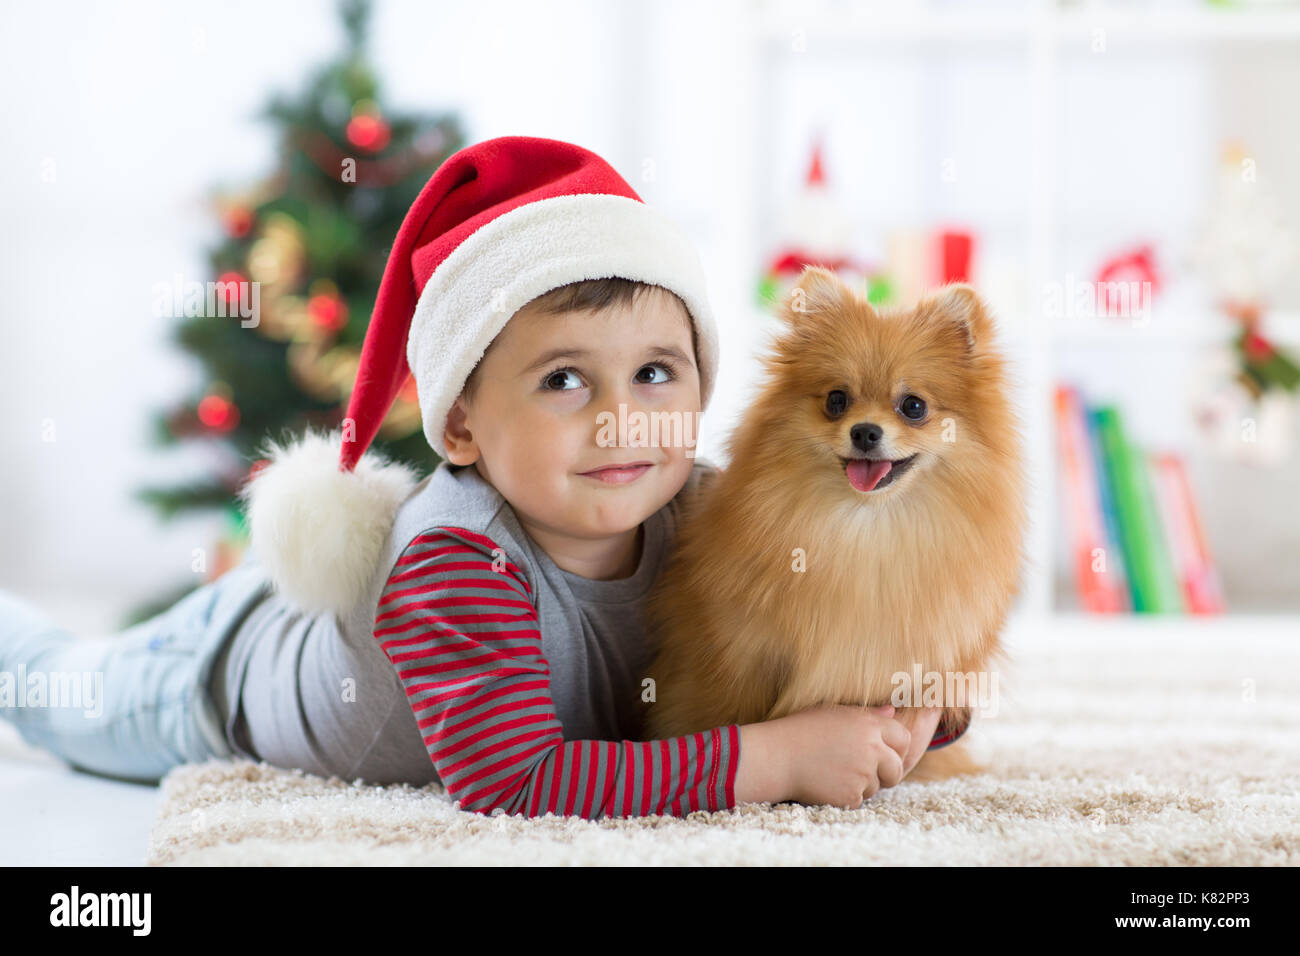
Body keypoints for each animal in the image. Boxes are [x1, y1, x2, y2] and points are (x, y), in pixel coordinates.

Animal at [639, 264, 1024, 785]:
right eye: (837, 400)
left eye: (914, 407)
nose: (865, 432)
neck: (865, 528)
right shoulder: (737, 654)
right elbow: (725, 712)